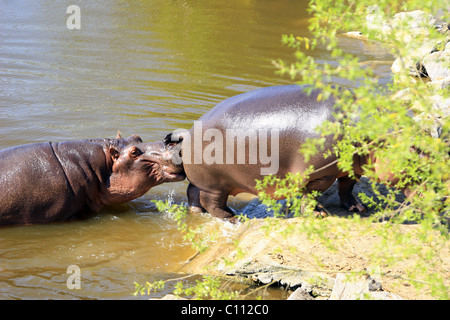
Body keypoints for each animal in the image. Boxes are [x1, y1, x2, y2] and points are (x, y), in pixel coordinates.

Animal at [165, 84, 370, 221]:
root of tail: (189, 133)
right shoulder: (321, 175)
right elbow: (311, 195)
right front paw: (317, 214)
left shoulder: (353, 169)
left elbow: (347, 186)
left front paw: (358, 208)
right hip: (215, 183)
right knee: (212, 202)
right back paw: (233, 218)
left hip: (204, 180)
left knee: (194, 192)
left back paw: (197, 212)